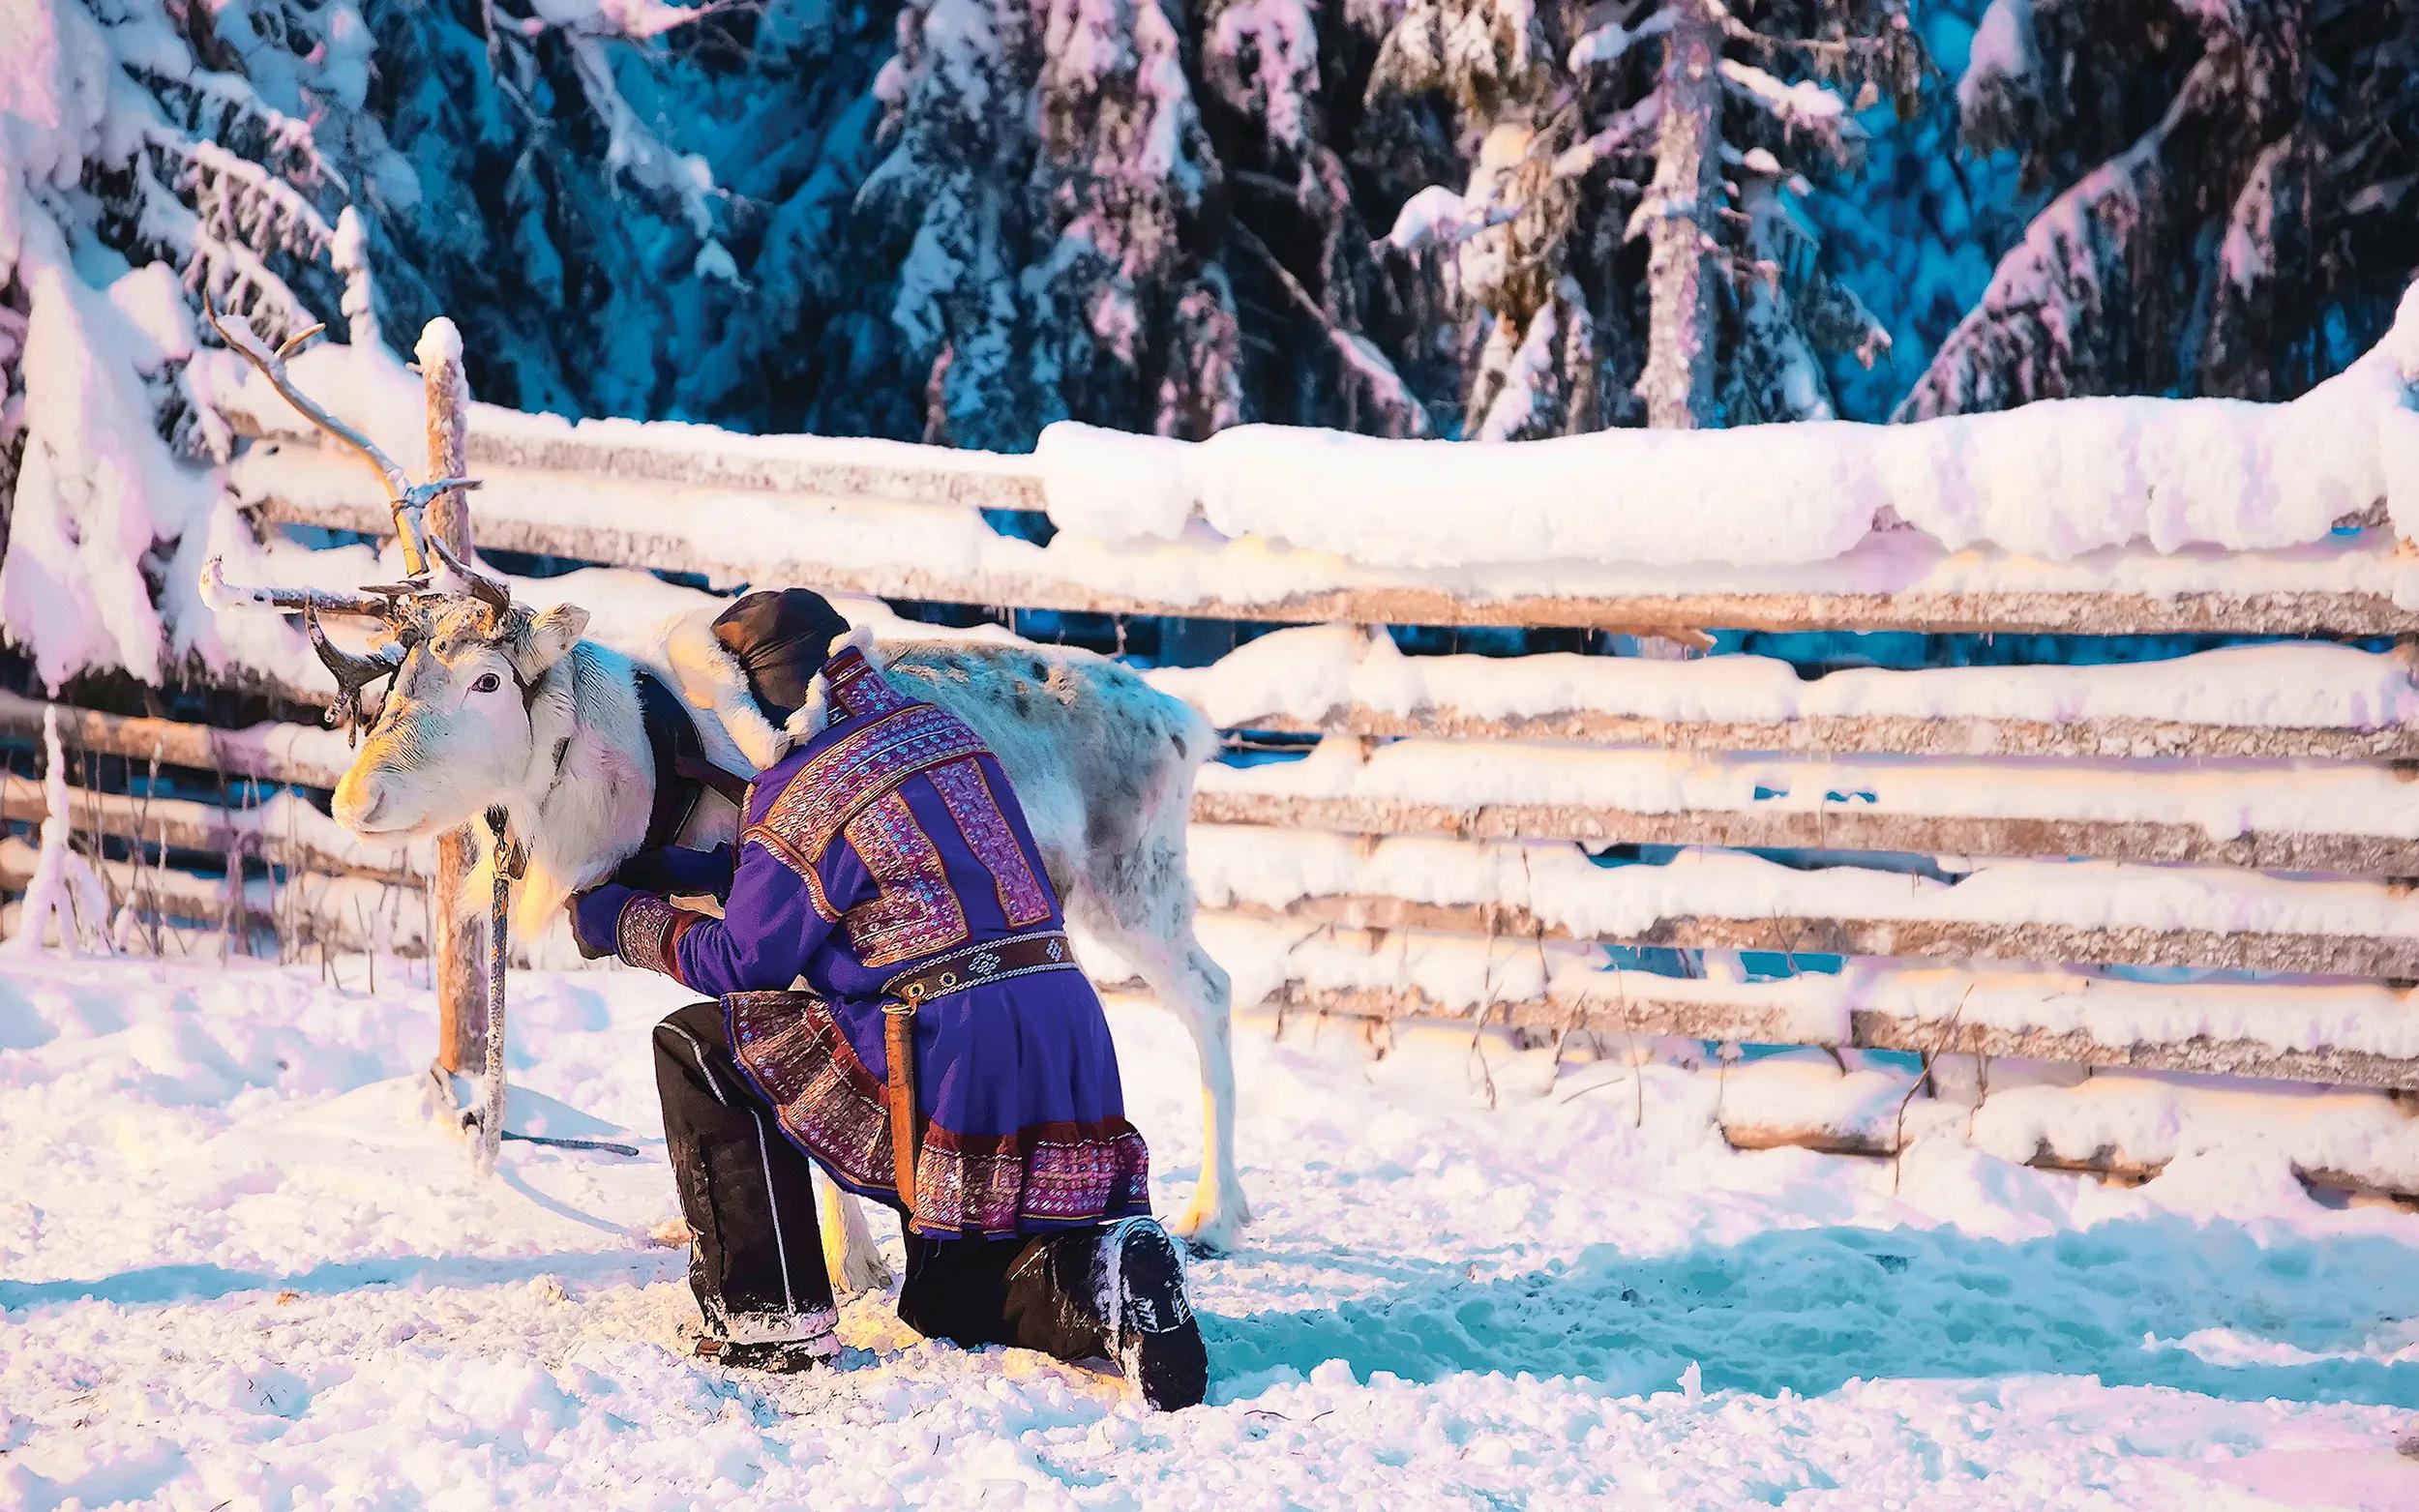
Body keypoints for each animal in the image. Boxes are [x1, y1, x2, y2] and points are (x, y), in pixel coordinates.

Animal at [199, 303, 1252, 1286]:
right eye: (399, 677)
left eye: (489, 680)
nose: (355, 802)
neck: (624, 773)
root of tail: (1186, 721)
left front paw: (853, 1266)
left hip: (1136, 885)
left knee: (1211, 990)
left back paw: (1217, 1214)